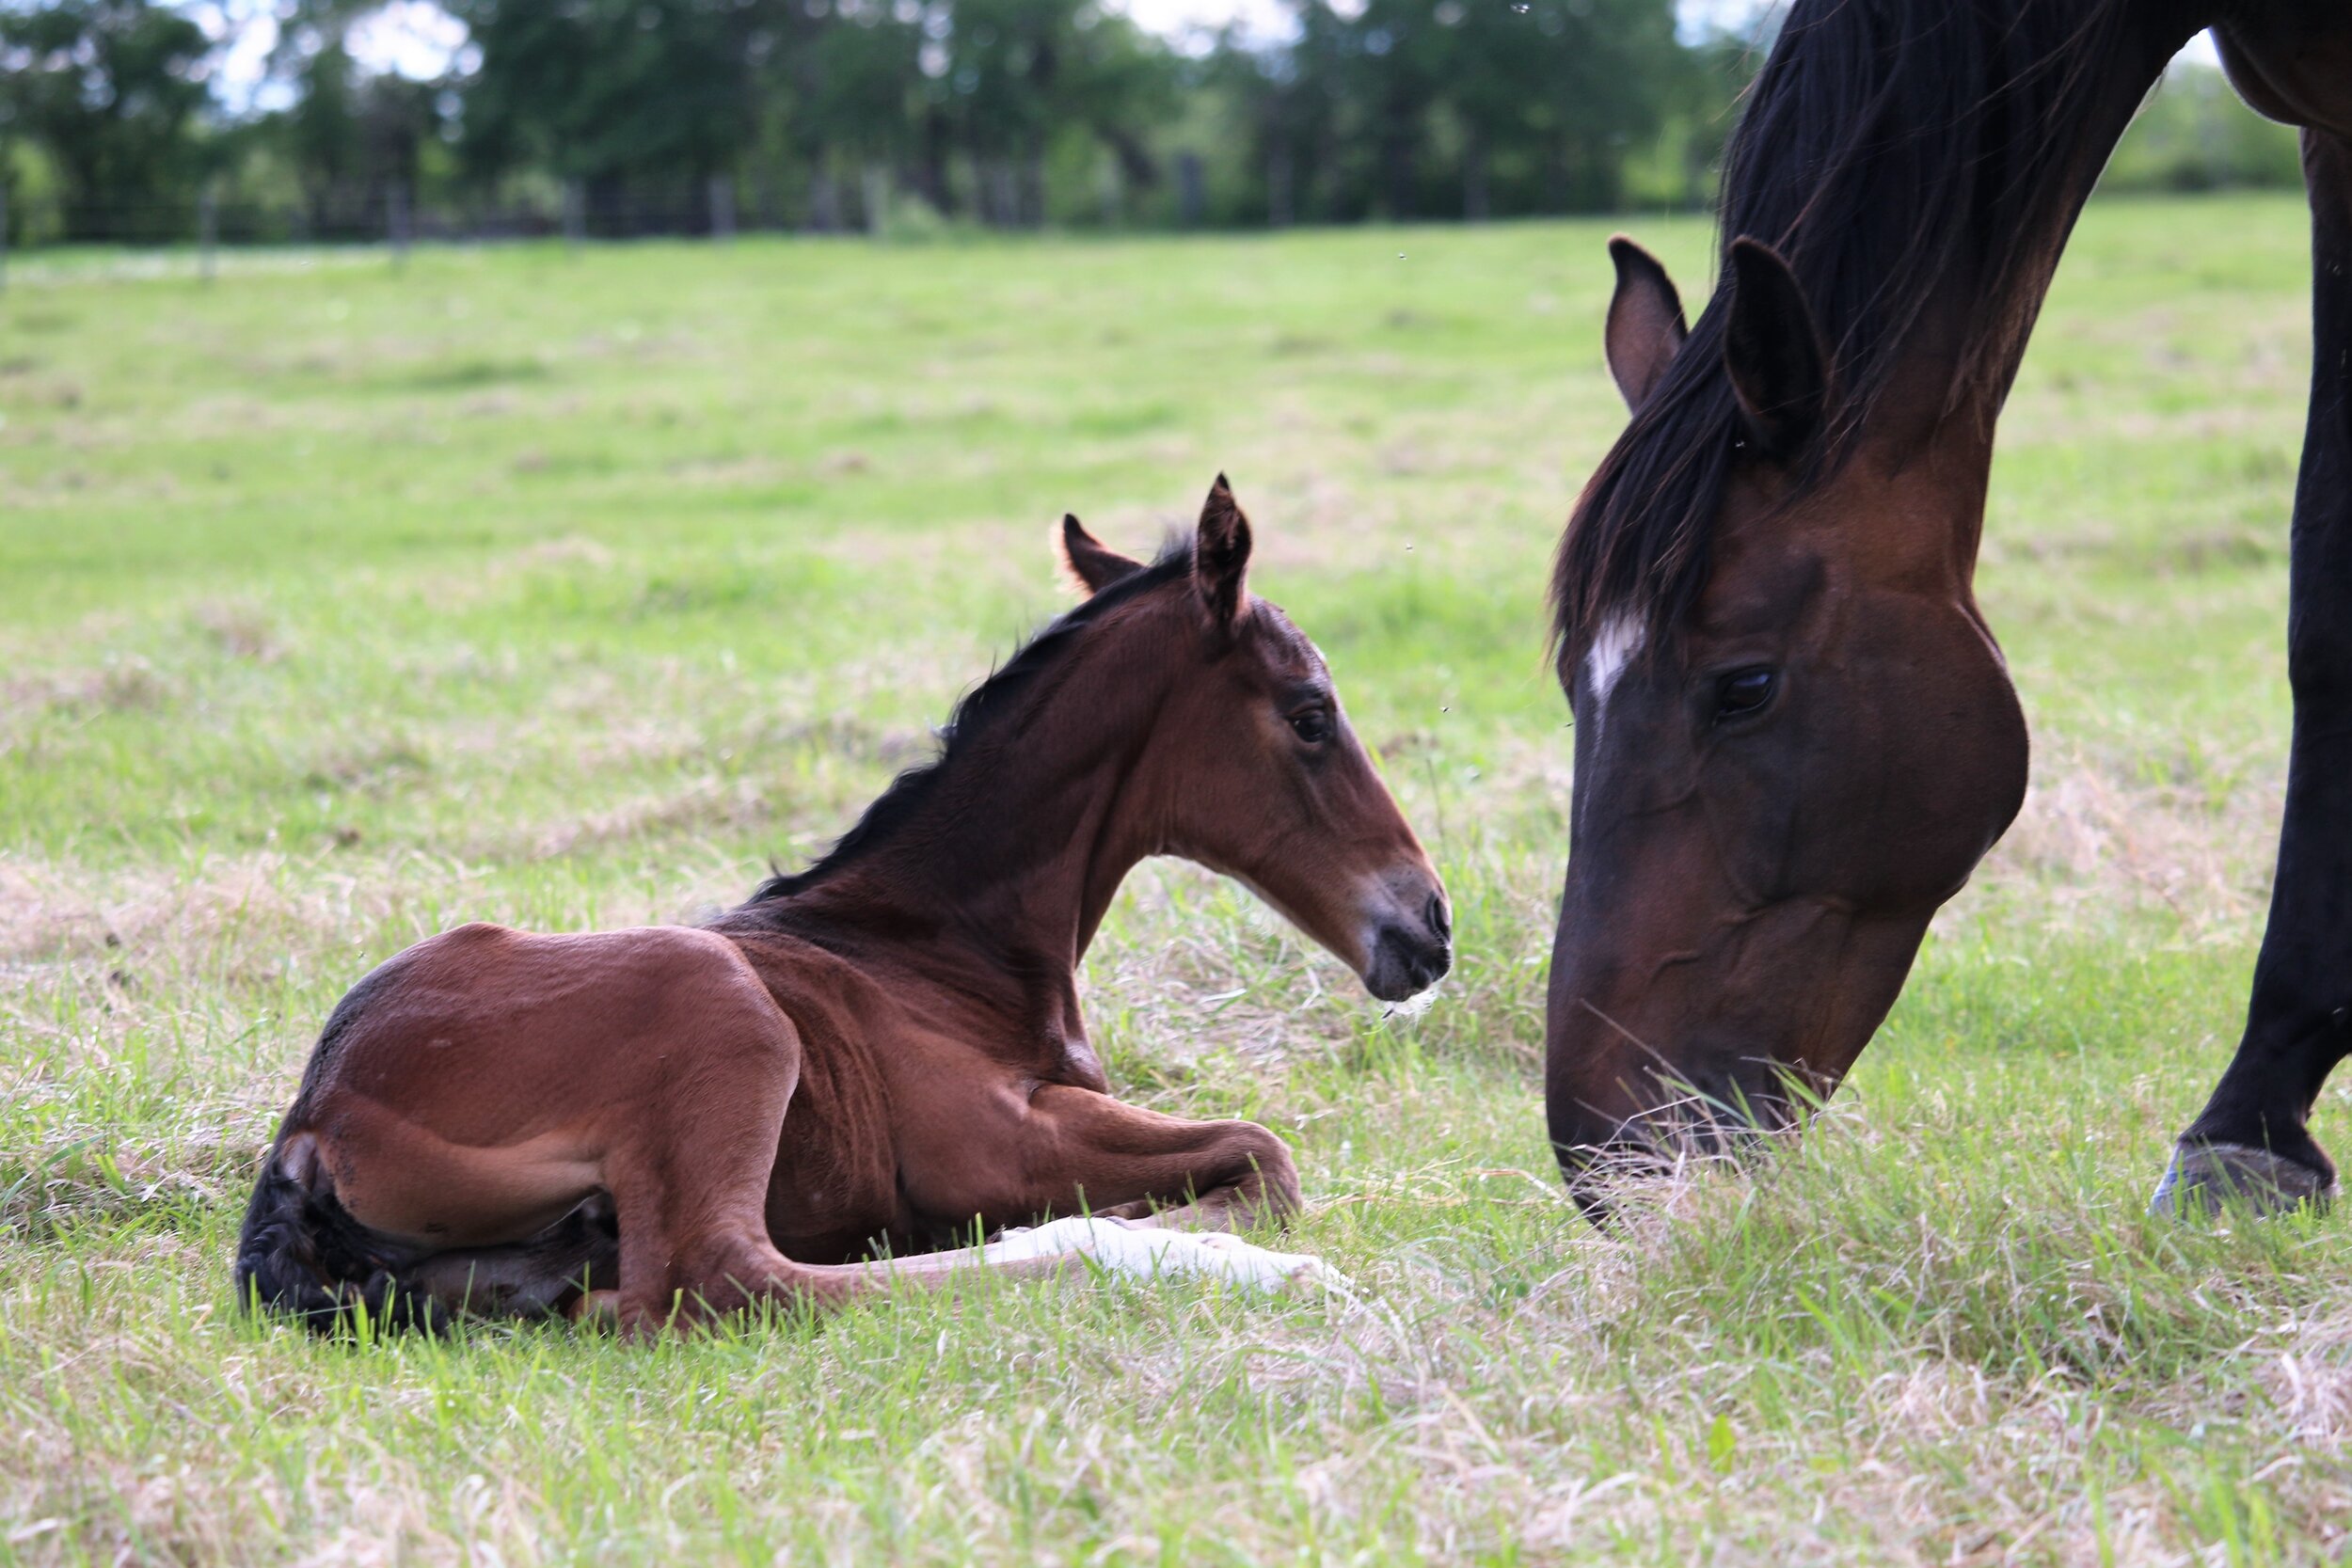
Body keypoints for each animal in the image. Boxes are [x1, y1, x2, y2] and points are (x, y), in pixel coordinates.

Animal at [238, 482, 1449, 1335]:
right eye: (1309, 713)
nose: (1430, 924)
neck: (939, 945)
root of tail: (313, 1119)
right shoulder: (995, 1143)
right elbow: (1265, 1155)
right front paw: (1195, 1235)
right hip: (714, 1003)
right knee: (728, 1283)